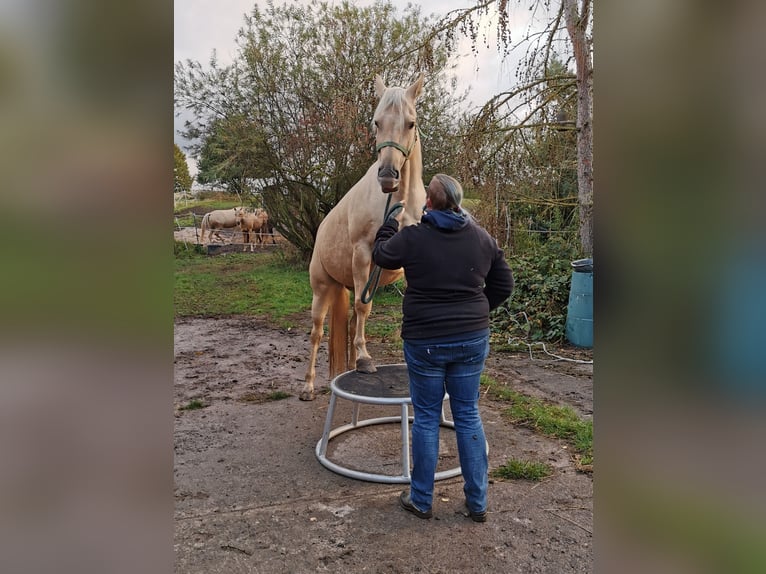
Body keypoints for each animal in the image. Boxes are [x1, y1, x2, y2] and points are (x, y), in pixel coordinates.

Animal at [301, 74, 426, 401]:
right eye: (376, 122)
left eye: (411, 123)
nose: (388, 177)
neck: (400, 205)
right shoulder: (363, 254)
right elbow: (362, 306)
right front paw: (365, 360)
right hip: (322, 290)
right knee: (317, 333)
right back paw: (307, 386)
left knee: (350, 323)